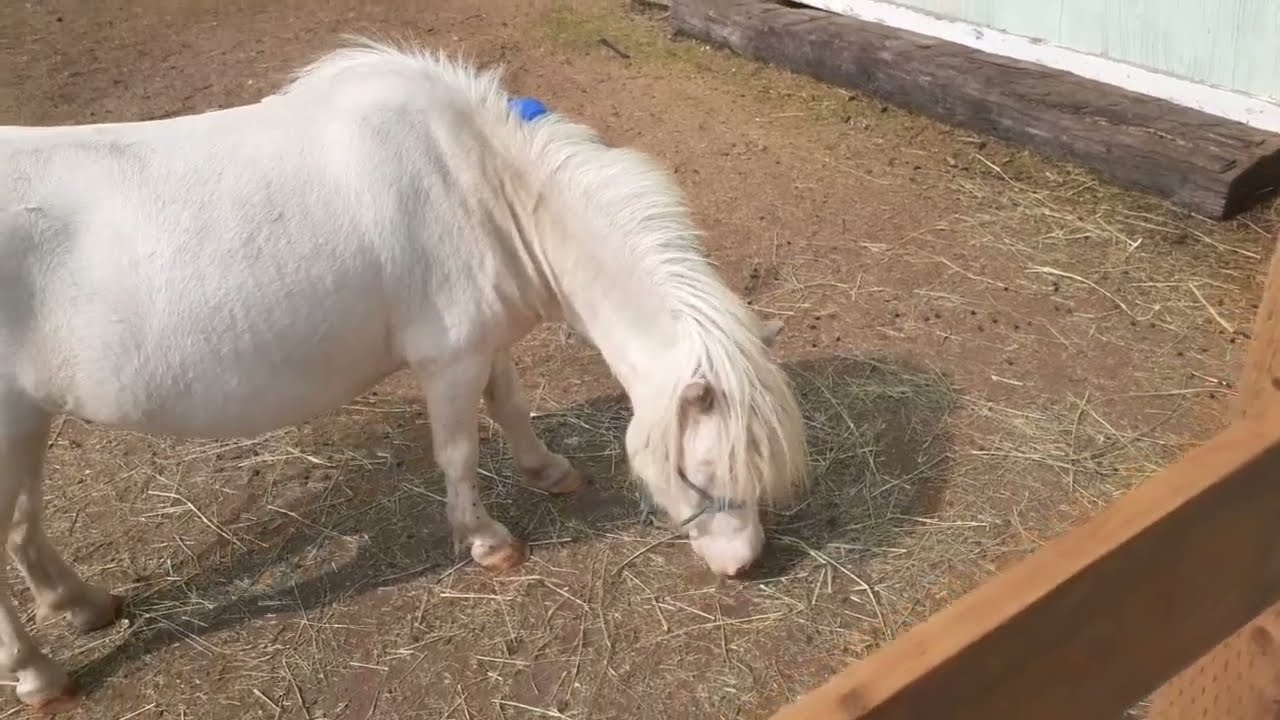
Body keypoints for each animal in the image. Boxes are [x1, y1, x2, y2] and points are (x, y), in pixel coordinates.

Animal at [0, 38, 810, 711]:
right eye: (700, 473)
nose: (745, 564)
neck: (480, 185)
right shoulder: (449, 360)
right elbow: (458, 452)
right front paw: (486, 542)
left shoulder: (485, 343)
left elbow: (511, 405)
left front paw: (548, 471)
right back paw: (38, 673)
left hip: (27, 423)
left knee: (23, 528)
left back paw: (83, 606)